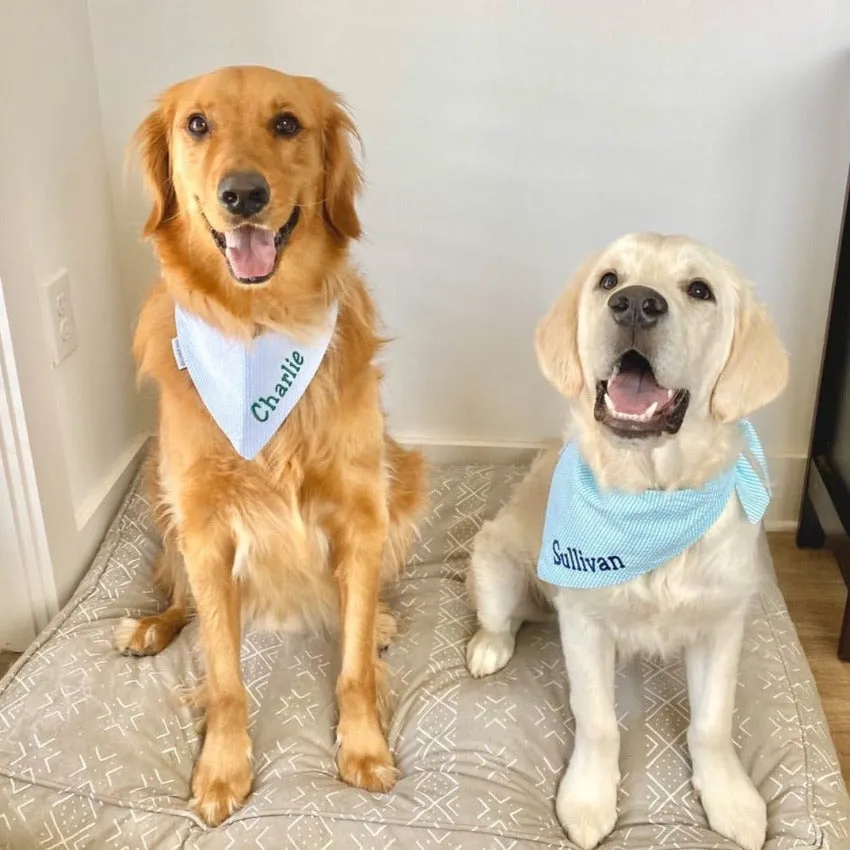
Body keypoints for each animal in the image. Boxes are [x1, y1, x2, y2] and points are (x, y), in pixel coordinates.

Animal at [114, 66, 424, 820]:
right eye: (196, 124)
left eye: (287, 124)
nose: (243, 195)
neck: (260, 328)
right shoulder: (204, 527)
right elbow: (224, 675)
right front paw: (223, 767)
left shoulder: (361, 511)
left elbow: (352, 669)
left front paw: (363, 747)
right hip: (164, 503)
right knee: (184, 603)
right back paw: (149, 626)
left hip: (404, 482)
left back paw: (377, 623)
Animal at [464, 232, 788, 848]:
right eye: (609, 280)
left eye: (700, 290)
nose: (636, 304)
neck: (652, 498)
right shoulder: (585, 624)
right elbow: (597, 722)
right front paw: (589, 798)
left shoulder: (721, 624)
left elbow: (713, 723)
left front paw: (730, 797)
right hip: (495, 560)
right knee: (504, 618)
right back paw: (489, 647)